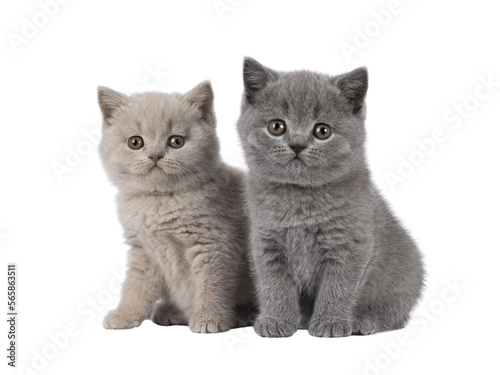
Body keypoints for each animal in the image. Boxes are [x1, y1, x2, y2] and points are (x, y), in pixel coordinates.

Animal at [236, 58, 424, 338]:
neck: (299, 199)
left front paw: (331, 323)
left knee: (394, 314)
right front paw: (276, 321)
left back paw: (364, 321)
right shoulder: (266, 242)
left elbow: (338, 287)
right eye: (276, 127)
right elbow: (274, 285)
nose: (297, 144)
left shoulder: (349, 245)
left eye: (322, 131)